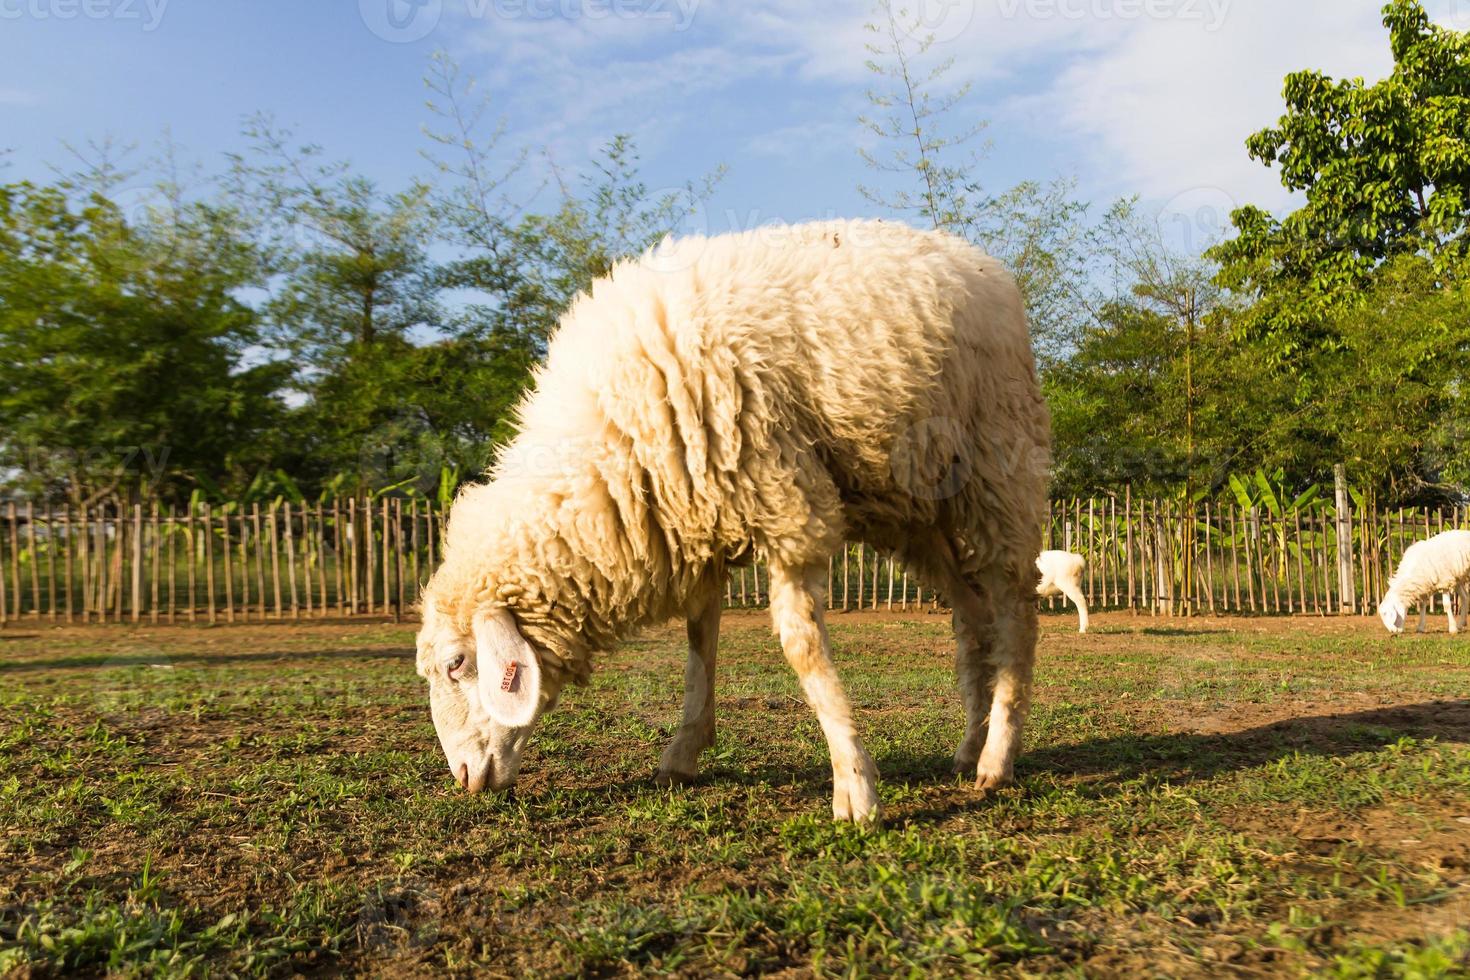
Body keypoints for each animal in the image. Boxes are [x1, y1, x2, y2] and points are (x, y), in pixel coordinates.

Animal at [414, 218, 1058, 822]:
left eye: (456, 664)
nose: (464, 778)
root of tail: (978, 261)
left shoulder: (786, 502)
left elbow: (803, 649)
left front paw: (854, 787)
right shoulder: (698, 515)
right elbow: (700, 640)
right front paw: (684, 752)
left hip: (997, 464)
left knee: (1015, 611)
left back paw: (997, 758)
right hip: (916, 512)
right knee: (973, 617)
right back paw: (968, 748)